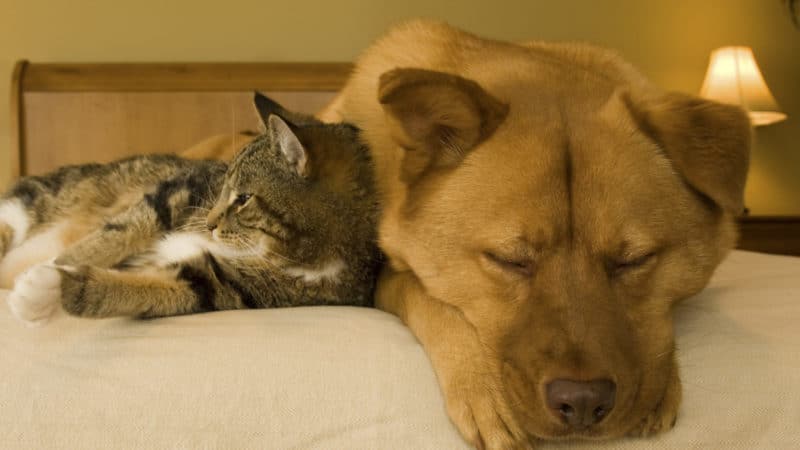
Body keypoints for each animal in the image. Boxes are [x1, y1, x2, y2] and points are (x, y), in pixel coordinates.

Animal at [0, 92, 382, 324]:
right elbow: (111, 237)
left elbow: (146, 288)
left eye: (243, 198)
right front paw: (53, 267)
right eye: (223, 185)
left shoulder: (224, 286)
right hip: (32, 203)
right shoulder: (176, 193)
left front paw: (48, 289)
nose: (209, 222)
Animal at [318, 20, 752, 450]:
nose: (582, 402)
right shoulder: (383, 275)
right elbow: (427, 296)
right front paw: (481, 386)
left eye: (634, 261)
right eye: (509, 260)